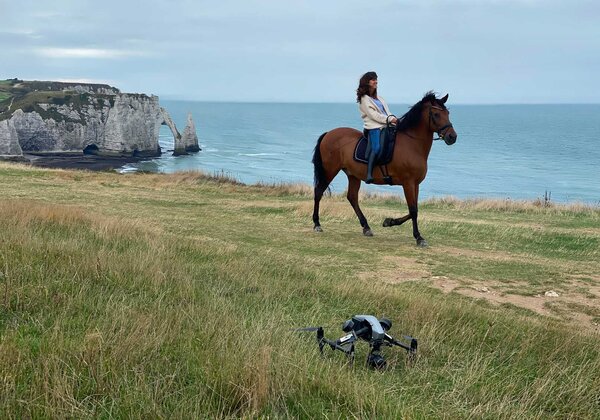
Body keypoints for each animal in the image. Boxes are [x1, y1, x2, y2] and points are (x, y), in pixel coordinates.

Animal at [312, 92, 458, 246]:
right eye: (436, 114)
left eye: (447, 113)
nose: (452, 136)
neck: (412, 144)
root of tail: (329, 133)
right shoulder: (408, 183)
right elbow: (413, 210)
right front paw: (418, 237)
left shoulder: (415, 184)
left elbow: (415, 209)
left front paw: (389, 222)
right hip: (330, 170)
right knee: (318, 192)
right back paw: (317, 224)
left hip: (353, 175)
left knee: (352, 197)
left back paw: (366, 227)